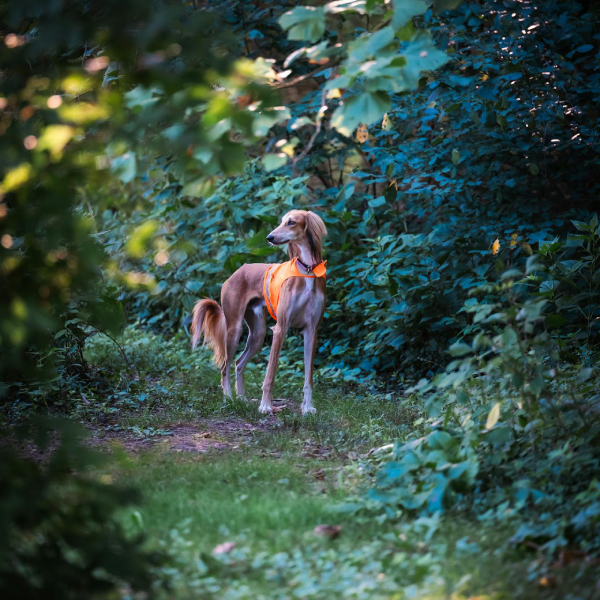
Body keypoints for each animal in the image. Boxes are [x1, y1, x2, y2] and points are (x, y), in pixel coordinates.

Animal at [191, 210, 328, 412]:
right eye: (281, 221)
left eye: (291, 222)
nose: (269, 237)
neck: (307, 271)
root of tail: (237, 271)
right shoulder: (281, 328)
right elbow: (270, 373)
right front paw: (265, 406)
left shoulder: (311, 330)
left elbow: (308, 377)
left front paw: (308, 408)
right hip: (234, 329)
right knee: (225, 366)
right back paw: (229, 399)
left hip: (258, 334)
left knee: (239, 363)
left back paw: (242, 399)